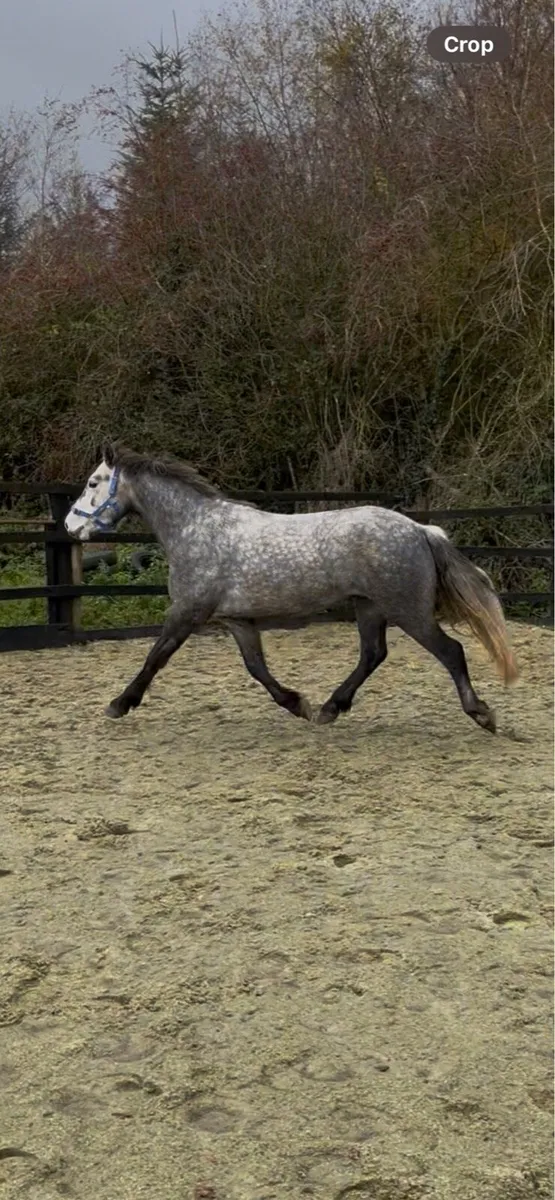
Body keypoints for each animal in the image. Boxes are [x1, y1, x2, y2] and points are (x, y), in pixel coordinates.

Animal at [64, 442, 518, 733]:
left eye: (92, 482)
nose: (70, 526)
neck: (197, 529)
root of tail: (422, 530)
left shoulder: (187, 612)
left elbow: (155, 658)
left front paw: (119, 704)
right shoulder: (237, 620)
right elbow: (257, 668)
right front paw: (297, 704)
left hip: (407, 611)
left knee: (450, 652)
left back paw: (482, 715)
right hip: (369, 606)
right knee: (373, 655)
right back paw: (330, 709)